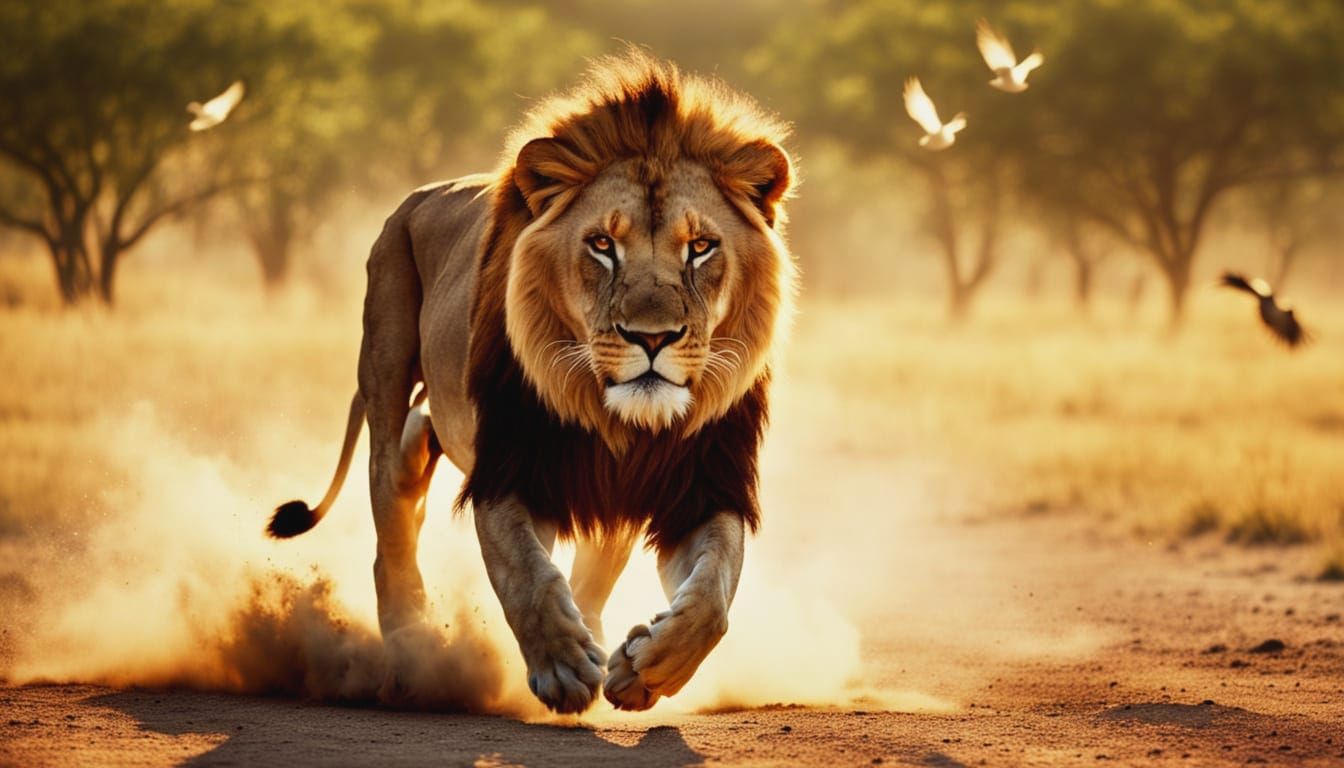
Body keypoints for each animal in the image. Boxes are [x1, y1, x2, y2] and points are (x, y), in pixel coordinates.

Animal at [268, 51, 796, 714]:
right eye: (602, 245)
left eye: (700, 247)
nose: (651, 339)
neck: (617, 421)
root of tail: (416, 199)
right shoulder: (507, 473)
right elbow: (526, 574)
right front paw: (564, 667)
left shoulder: (699, 486)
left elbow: (713, 595)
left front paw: (644, 667)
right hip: (385, 361)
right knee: (391, 522)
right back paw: (411, 657)